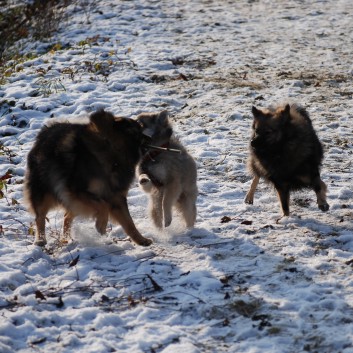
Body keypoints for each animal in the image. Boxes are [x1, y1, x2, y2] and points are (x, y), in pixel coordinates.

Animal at [24, 109, 151, 245]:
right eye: (135, 132)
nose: (150, 138)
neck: (111, 150)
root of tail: (44, 133)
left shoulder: (116, 197)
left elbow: (129, 222)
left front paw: (141, 240)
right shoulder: (79, 191)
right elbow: (103, 205)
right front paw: (101, 224)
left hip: (70, 200)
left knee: (66, 217)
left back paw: (66, 238)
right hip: (44, 191)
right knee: (40, 216)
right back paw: (41, 239)